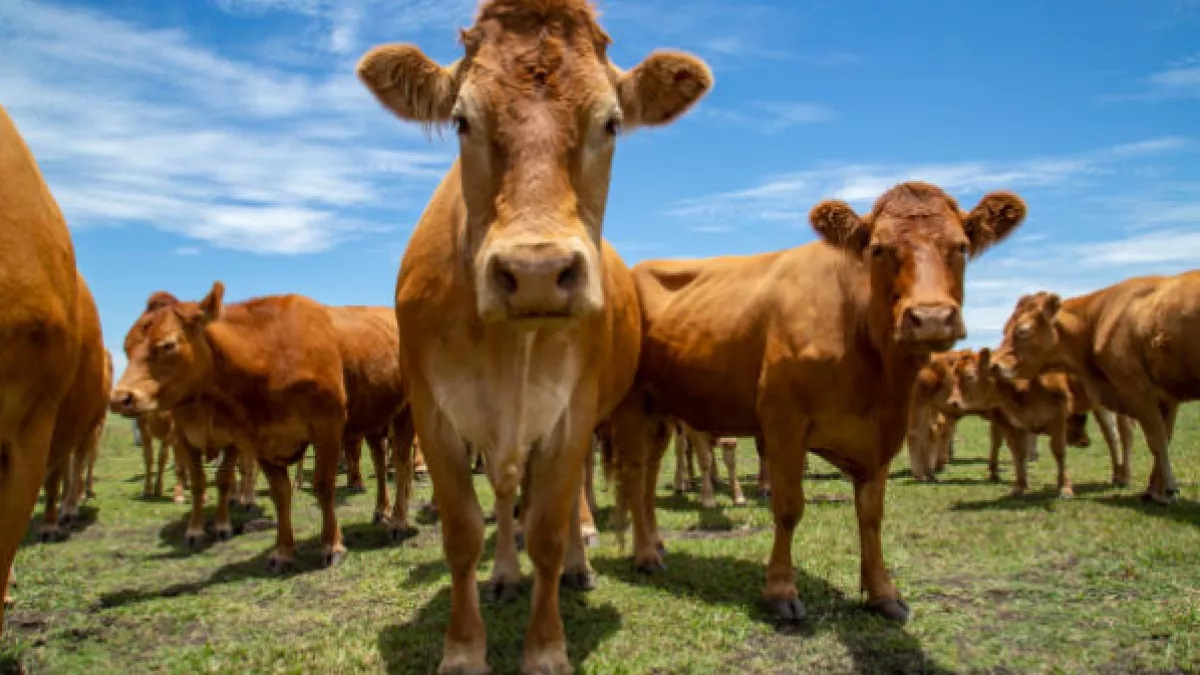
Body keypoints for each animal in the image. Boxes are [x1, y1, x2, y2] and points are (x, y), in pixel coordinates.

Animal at [109, 283, 348, 566]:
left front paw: (332, 545)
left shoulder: (326, 430)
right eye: (126, 347)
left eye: (168, 345)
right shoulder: (241, 438)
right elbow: (269, 492)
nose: (120, 398)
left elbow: (322, 485)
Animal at [352, 2, 710, 667]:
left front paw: (546, 649)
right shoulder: (434, 415)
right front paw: (464, 649)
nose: (537, 272)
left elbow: (544, 527)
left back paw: (581, 563)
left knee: (580, 497)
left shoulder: (572, 412)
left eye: (612, 123)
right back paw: (503, 576)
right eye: (462, 120)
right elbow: (464, 531)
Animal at [614, 180, 1027, 619]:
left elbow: (872, 514)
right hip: (632, 404)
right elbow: (788, 507)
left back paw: (655, 543)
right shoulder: (783, 421)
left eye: (961, 247)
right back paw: (645, 555)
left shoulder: (882, 433)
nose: (930, 318)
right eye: (878, 249)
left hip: (660, 408)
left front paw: (883, 592)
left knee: (649, 474)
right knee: (634, 473)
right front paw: (781, 591)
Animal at [988, 276, 1195, 502]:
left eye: (1023, 331)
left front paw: (1166, 490)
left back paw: (1126, 477)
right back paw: (1120, 476)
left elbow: (1156, 440)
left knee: (1124, 434)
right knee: (1112, 435)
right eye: (1004, 328)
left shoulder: (1138, 393)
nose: (993, 365)